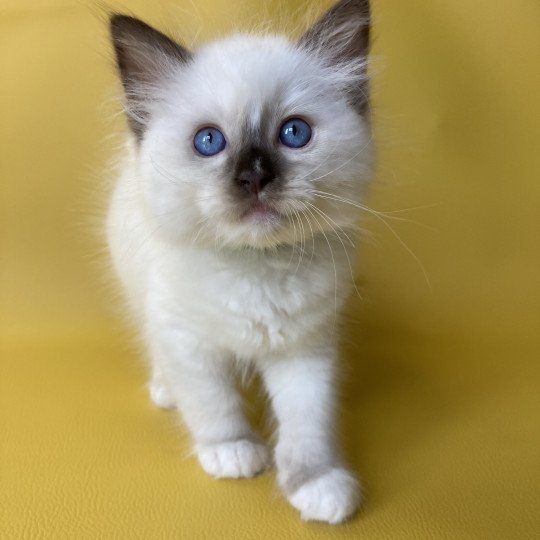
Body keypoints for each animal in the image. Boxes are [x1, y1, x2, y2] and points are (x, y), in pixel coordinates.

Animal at [107, 0, 374, 524]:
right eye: (209, 142)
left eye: (294, 133)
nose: (254, 177)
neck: (257, 268)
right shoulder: (185, 341)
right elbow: (213, 403)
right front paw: (232, 454)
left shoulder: (305, 349)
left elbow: (307, 424)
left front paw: (318, 488)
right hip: (138, 296)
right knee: (157, 354)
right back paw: (165, 392)